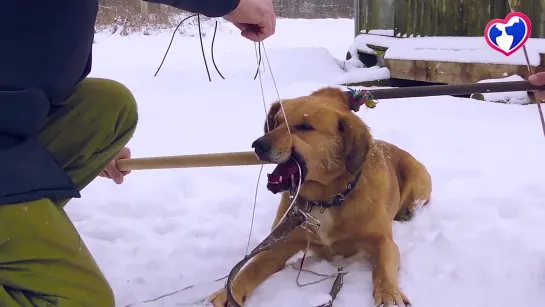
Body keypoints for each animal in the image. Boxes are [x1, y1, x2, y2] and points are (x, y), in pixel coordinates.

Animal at [207, 86, 430, 307]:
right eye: (276, 122)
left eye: (304, 126)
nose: (257, 144)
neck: (325, 200)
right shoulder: (279, 245)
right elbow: (250, 268)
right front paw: (228, 292)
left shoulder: (383, 242)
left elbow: (382, 268)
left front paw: (388, 294)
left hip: (417, 176)